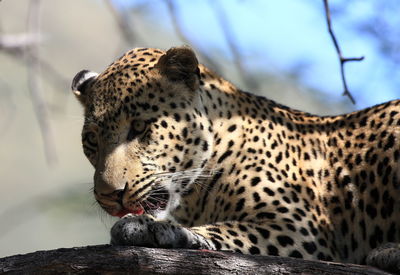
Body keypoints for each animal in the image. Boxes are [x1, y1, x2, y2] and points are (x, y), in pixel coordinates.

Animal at [71, 46, 400, 272]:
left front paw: (152, 228)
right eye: (92, 140)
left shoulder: (299, 227)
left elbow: (230, 231)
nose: (110, 195)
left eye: (139, 127)